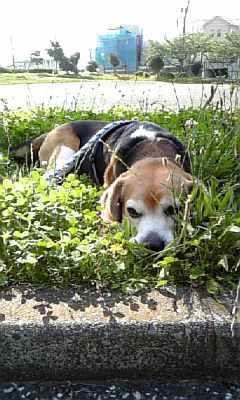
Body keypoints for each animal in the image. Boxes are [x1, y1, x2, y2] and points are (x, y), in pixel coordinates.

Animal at [10, 119, 193, 250]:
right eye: (132, 211)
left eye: (175, 210)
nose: (153, 245)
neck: (152, 148)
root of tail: (56, 128)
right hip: (64, 153)